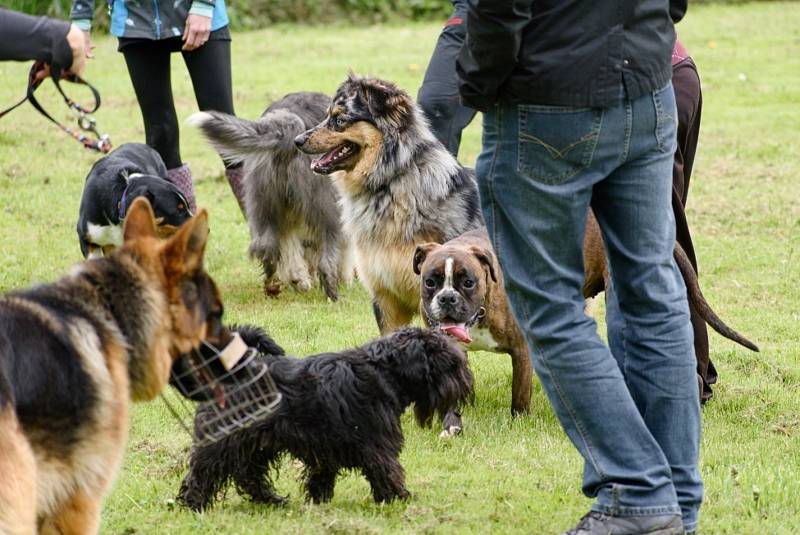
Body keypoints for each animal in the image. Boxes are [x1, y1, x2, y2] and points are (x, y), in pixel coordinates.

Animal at [177, 324, 472, 512]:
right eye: (450, 364)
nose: (466, 383)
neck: (383, 372)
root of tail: (232, 375)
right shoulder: (377, 446)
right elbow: (388, 471)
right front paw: (400, 498)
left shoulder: (326, 447)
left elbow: (322, 475)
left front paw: (318, 500)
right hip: (223, 442)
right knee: (204, 472)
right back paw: (193, 504)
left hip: (258, 444)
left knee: (249, 475)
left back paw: (271, 500)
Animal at [189, 92, 352, 302]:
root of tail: (288, 123)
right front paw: (347, 279)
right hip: (327, 210)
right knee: (327, 257)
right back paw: (333, 293)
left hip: (264, 203)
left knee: (267, 248)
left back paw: (274, 285)